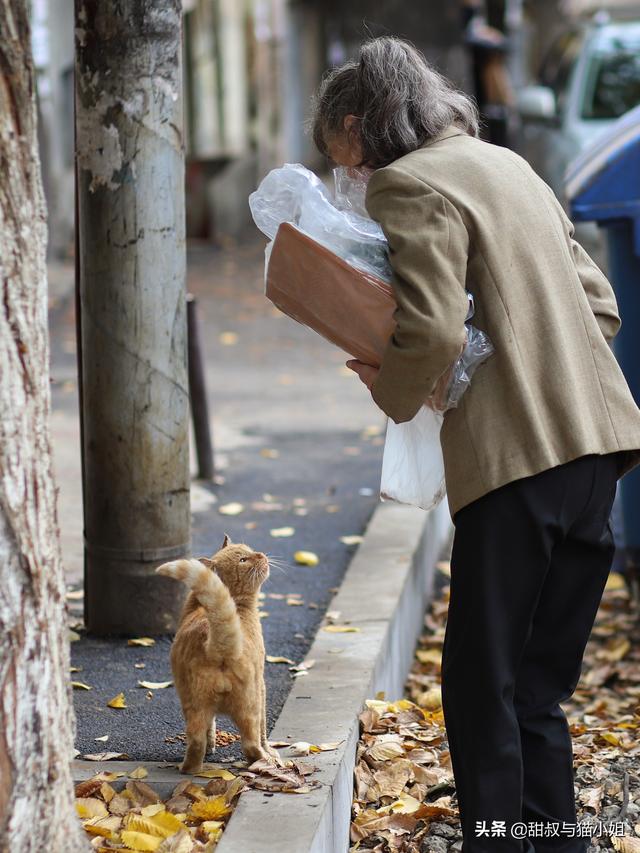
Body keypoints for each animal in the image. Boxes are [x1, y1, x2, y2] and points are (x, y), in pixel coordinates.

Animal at [156, 536, 278, 776]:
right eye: (243, 560)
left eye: (250, 550)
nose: (260, 554)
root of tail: (217, 646)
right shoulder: (262, 687)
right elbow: (263, 731)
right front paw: (270, 750)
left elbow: (210, 728)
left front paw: (212, 746)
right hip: (250, 704)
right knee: (252, 743)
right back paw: (268, 762)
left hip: (193, 704)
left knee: (197, 742)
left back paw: (189, 769)